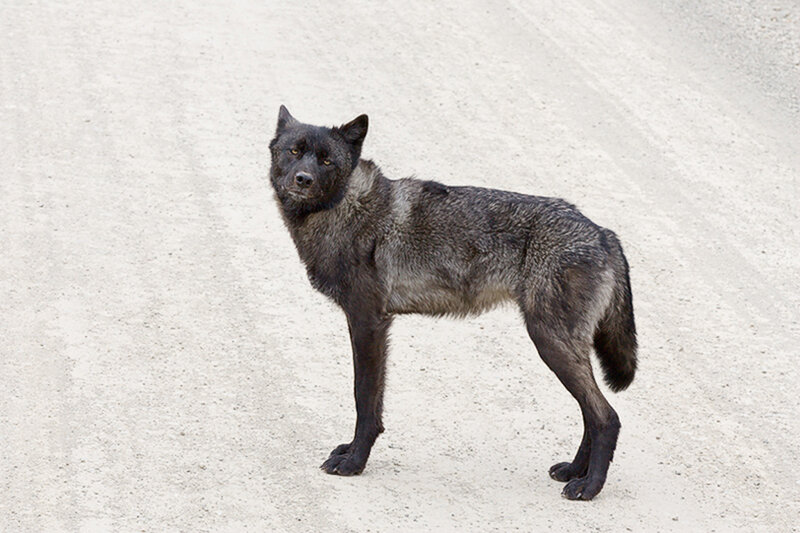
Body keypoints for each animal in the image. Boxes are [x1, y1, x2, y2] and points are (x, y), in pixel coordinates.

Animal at [268, 106, 637, 500]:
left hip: (551, 344)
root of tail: (603, 234)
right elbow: (368, 400)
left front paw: (354, 462)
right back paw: (573, 471)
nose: (303, 179)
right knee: (590, 413)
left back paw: (589, 486)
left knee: (606, 417)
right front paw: (350, 453)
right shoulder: (370, 326)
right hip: (560, 349)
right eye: (294, 151)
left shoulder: (368, 324)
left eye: (326, 160)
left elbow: (364, 400)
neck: (347, 209)